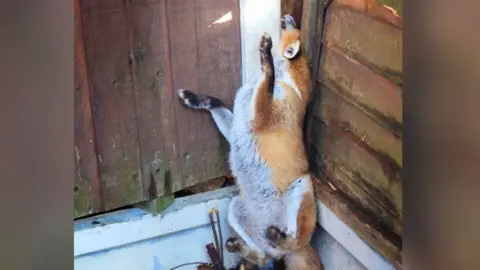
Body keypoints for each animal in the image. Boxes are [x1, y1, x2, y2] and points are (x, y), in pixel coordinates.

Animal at [176, 15, 322, 270]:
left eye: (293, 28)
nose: (288, 17)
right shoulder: (238, 126)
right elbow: (216, 102)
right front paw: (195, 99)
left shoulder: (261, 114)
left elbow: (268, 78)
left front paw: (266, 55)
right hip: (236, 209)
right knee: (264, 256)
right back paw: (242, 247)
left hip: (301, 191)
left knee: (292, 241)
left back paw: (279, 235)